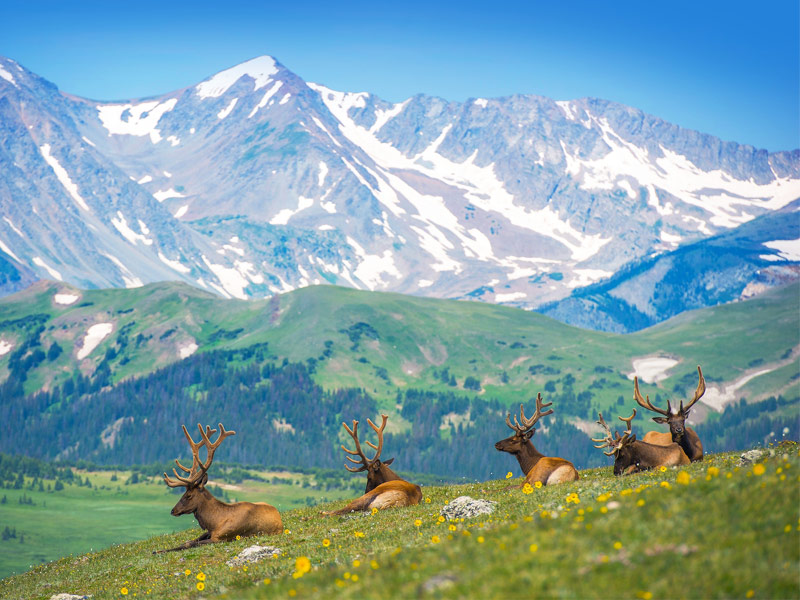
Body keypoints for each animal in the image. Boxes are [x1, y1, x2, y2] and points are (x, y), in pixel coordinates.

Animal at [155, 422, 282, 552]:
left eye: (188, 495)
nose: (173, 510)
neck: (215, 522)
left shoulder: (221, 538)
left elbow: (189, 544)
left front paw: (157, 551)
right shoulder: (209, 532)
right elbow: (188, 542)